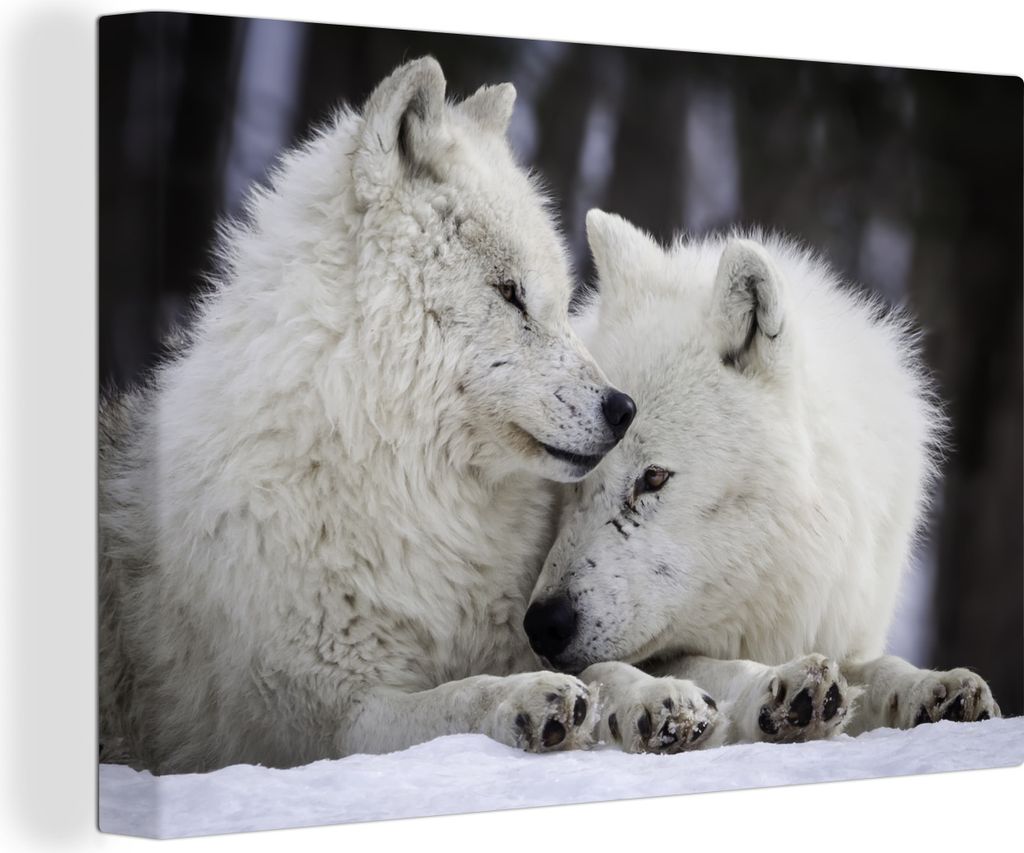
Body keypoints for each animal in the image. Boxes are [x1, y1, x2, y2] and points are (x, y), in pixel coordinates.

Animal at [99, 59, 728, 773]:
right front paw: (526, 700)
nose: (623, 409)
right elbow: (458, 697)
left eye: (562, 300)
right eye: (509, 294)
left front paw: (659, 695)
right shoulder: (329, 722)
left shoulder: (523, 628)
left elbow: (601, 668)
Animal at [524, 210, 999, 749]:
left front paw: (935, 689)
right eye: (575, 482)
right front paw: (775, 690)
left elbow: (880, 668)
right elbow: (708, 668)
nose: (543, 625)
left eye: (654, 478)